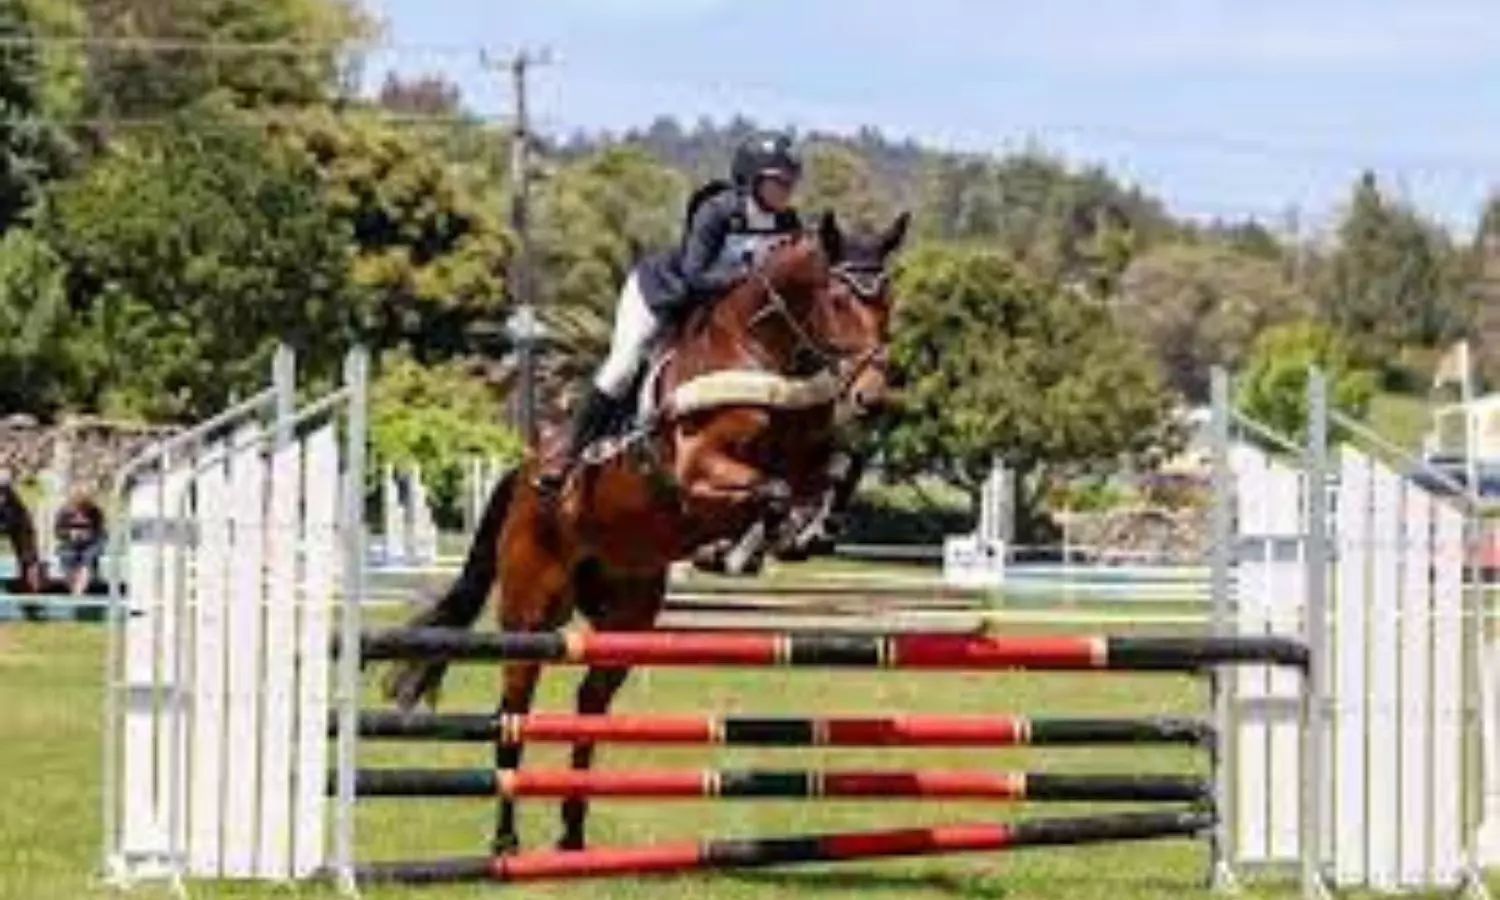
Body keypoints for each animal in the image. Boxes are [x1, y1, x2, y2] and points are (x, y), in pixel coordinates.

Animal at [381, 208, 906, 852]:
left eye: (888, 297)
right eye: (837, 298)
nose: (873, 397)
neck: (764, 354)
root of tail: (524, 474)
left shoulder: (808, 454)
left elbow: (839, 469)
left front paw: (809, 531)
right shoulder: (698, 470)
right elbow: (772, 491)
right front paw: (743, 548)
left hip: (625, 611)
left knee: (590, 700)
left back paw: (573, 834)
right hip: (531, 612)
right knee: (514, 707)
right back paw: (506, 841)